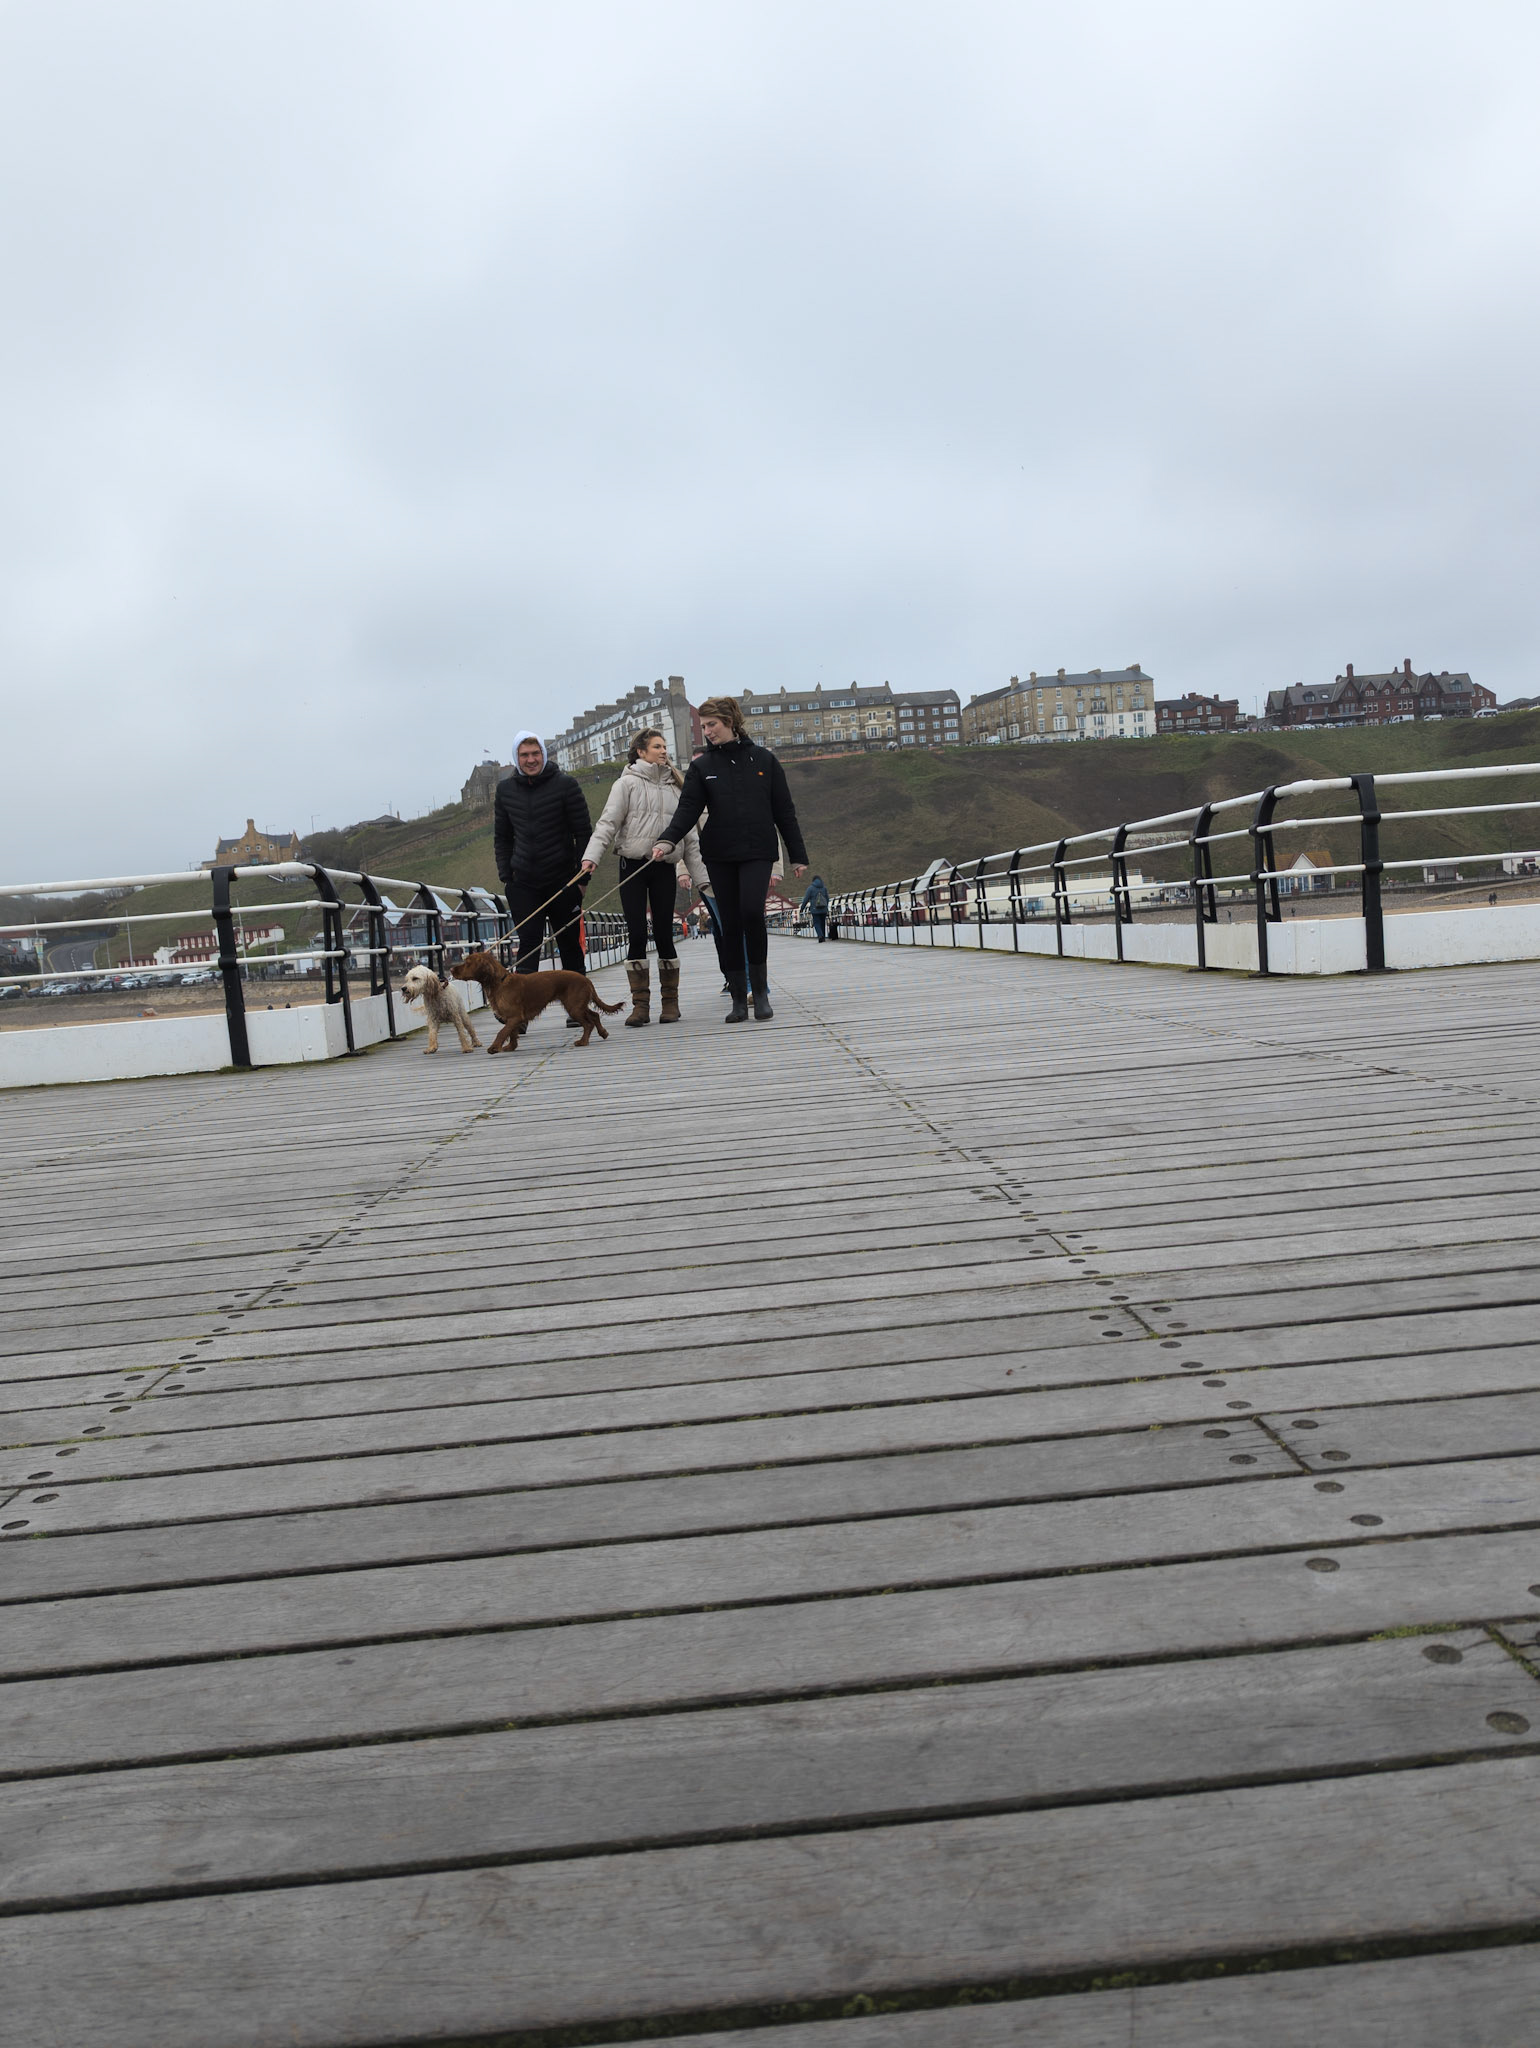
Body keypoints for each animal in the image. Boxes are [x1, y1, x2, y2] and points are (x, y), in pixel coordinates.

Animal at [452, 950, 624, 1053]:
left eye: (467, 963)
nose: (452, 969)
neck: (499, 982)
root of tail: (586, 980)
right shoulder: (511, 1018)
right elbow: (511, 1033)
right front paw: (510, 1047)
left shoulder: (515, 1017)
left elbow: (502, 1032)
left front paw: (494, 1047)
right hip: (577, 1005)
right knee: (595, 1015)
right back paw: (603, 1033)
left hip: (574, 1007)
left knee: (588, 1023)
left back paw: (582, 1042)